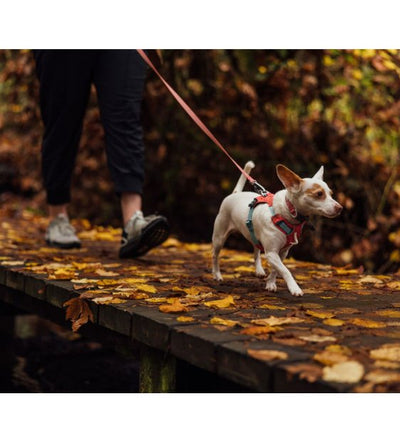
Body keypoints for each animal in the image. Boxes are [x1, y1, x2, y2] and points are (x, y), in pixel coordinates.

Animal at [211, 162, 342, 298]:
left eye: (331, 194)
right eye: (319, 194)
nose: (340, 208)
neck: (287, 212)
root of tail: (235, 193)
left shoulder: (282, 252)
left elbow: (276, 270)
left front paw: (270, 283)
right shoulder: (271, 253)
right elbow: (285, 270)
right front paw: (294, 288)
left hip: (253, 235)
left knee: (256, 251)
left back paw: (259, 270)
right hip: (219, 238)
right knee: (215, 256)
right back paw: (217, 275)